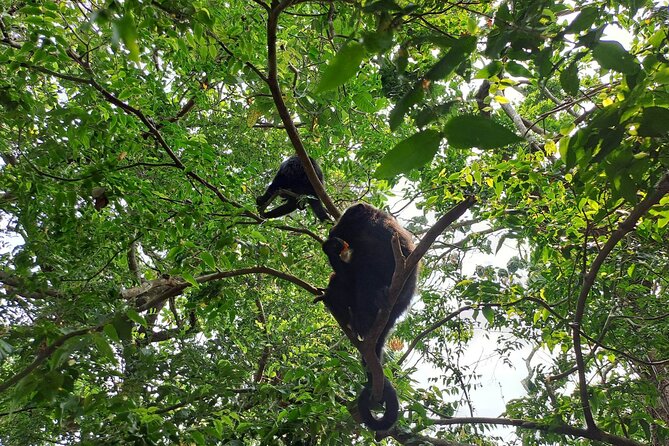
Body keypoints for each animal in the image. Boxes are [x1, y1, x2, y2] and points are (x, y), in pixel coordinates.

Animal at [318, 204, 418, 430]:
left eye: (343, 221)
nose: (331, 229)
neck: (367, 233)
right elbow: (347, 275)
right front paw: (330, 248)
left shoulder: (390, 235)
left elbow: (407, 265)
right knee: (344, 279)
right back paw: (337, 306)